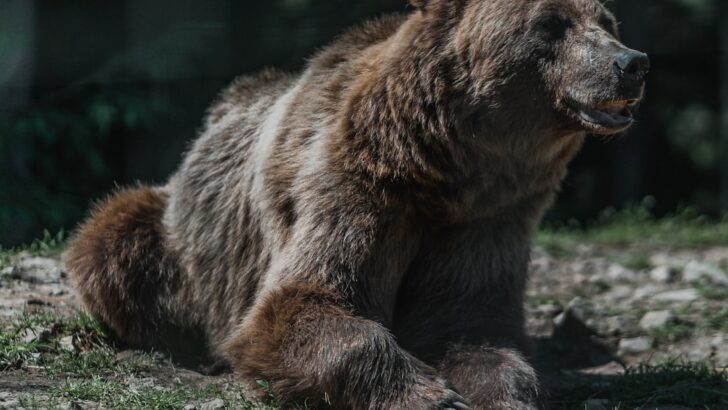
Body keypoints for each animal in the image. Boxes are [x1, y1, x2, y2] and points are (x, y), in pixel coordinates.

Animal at [64, 0, 648, 408]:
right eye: (550, 23)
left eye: (607, 20)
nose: (632, 62)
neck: (448, 171)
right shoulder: (355, 187)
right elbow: (300, 302)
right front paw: (433, 396)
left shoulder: (490, 218)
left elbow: (471, 327)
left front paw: (497, 391)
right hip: (170, 235)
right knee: (115, 245)